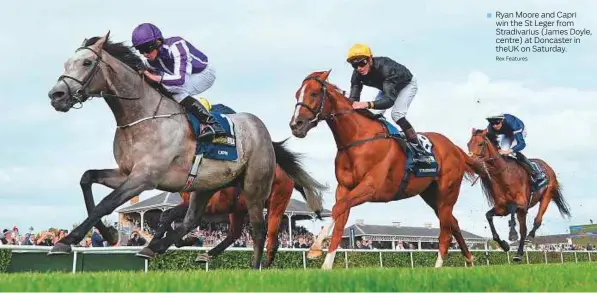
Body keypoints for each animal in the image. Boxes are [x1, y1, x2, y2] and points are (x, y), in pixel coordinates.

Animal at [44, 32, 308, 266]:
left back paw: (255, 268)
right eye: (67, 63)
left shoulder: (145, 177)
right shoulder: (126, 173)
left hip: (256, 190)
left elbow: (106, 203)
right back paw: (156, 247)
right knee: (193, 219)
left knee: (260, 231)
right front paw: (109, 234)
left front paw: (67, 240)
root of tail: (261, 129)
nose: (56, 95)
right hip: (207, 185)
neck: (142, 117)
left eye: (87, 62)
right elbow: (87, 179)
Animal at [288, 70, 474, 266]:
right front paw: (326, 266)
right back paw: (470, 260)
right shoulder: (344, 188)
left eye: (314, 94)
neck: (358, 139)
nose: (295, 125)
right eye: (297, 94)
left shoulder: (370, 187)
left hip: (447, 194)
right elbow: (339, 224)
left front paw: (315, 247)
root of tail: (456, 149)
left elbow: (337, 209)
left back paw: (438, 267)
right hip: (432, 195)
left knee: (445, 233)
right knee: (454, 223)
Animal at [464, 128, 572, 260]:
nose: (470, 162)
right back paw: (519, 253)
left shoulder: (522, 204)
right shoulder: (501, 208)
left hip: (547, 195)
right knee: (523, 230)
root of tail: (547, 166)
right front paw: (504, 245)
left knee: (536, 221)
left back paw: (529, 237)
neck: (504, 176)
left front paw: (512, 233)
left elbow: (512, 207)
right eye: (468, 144)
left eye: (480, 144)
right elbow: (489, 216)